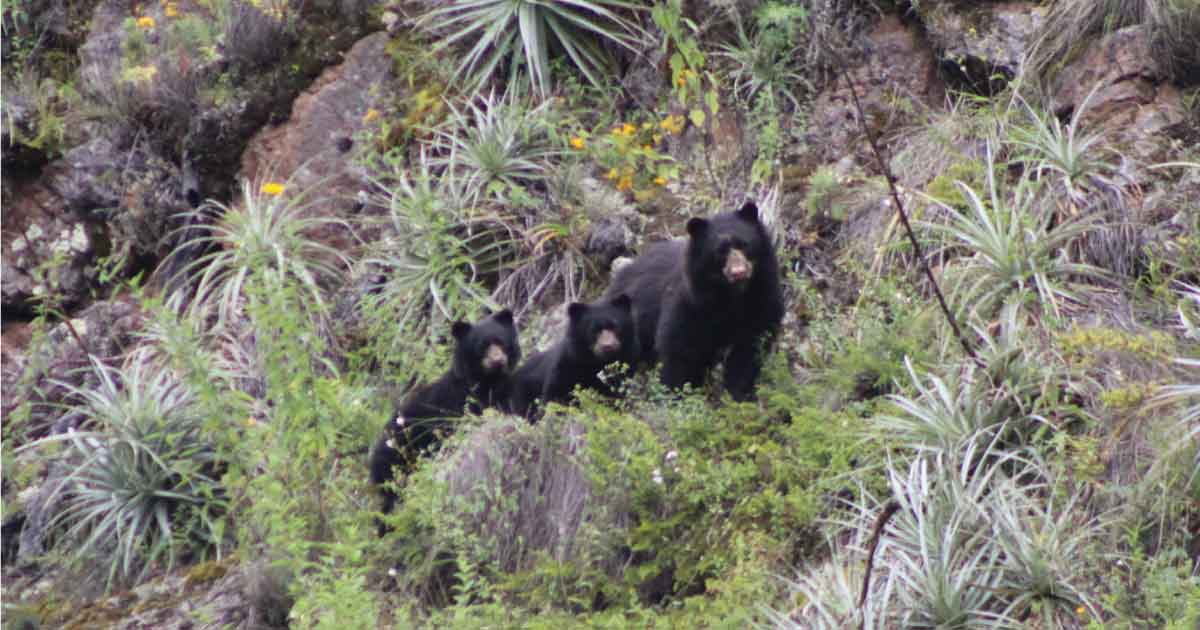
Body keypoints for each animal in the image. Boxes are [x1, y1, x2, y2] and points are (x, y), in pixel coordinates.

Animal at [369, 307, 520, 523]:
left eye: (501, 342)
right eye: (482, 347)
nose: (498, 360)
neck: (488, 380)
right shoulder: (458, 402)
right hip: (398, 457)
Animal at [511, 294, 643, 420]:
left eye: (615, 326)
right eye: (594, 330)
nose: (608, 346)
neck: (596, 362)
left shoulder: (627, 361)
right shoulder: (568, 364)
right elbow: (555, 396)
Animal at [604, 199, 782, 400]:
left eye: (744, 244)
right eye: (719, 252)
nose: (739, 272)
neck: (731, 296)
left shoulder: (762, 300)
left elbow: (748, 354)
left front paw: (739, 396)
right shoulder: (691, 306)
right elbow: (680, 352)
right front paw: (676, 395)